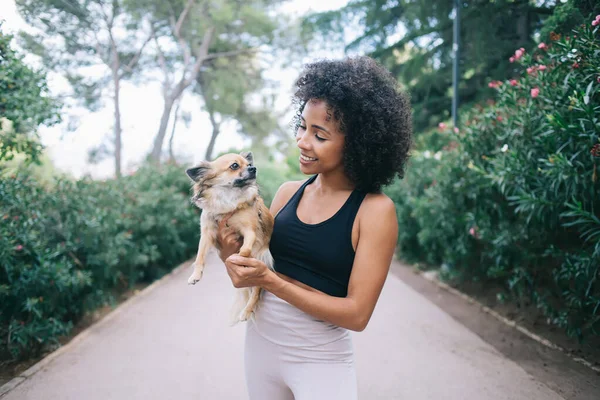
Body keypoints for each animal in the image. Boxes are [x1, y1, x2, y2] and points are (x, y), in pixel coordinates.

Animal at [184, 150, 276, 322]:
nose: (253, 168)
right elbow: (199, 256)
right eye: (234, 166)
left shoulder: (250, 232)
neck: (228, 197)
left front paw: (239, 258)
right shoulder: (207, 233)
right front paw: (195, 275)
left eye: (248, 164)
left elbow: (245, 251)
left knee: (257, 290)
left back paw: (246, 311)